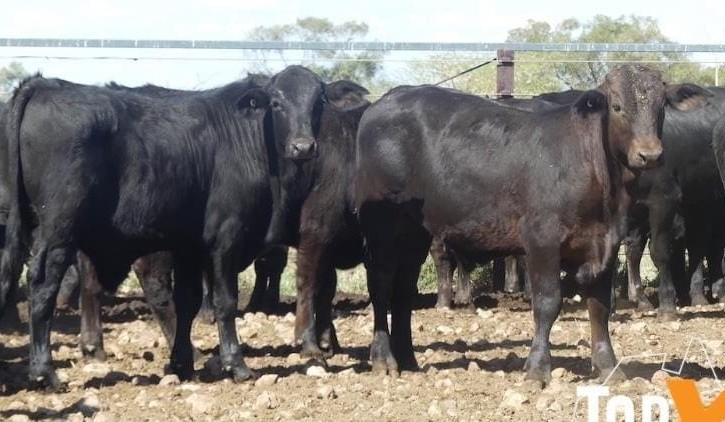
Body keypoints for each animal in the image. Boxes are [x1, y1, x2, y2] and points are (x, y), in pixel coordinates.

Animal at [0, 65, 326, 390]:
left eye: (318, 102)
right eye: (276, 102)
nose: (303, 146)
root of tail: (45, 84)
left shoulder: (190, 246)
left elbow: (188, 301)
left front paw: (182, 363)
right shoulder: (226, 237)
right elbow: (225, 301)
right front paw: (236, 364)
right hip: (58, 230)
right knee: (43, 287)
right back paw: (45, 371)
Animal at [354, 64, 708, 388]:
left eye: (661, 106)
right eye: (618, 106)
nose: (650, 155)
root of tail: (385, 101)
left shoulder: (607, 243)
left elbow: (599, 306)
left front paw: (610, 368)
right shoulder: (542, 240)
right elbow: (548, 303)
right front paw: (538, 369)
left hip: (415, 233)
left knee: (403, 289)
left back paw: (408, 359)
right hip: (381, 225)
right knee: (381, 284)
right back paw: (384, 359)